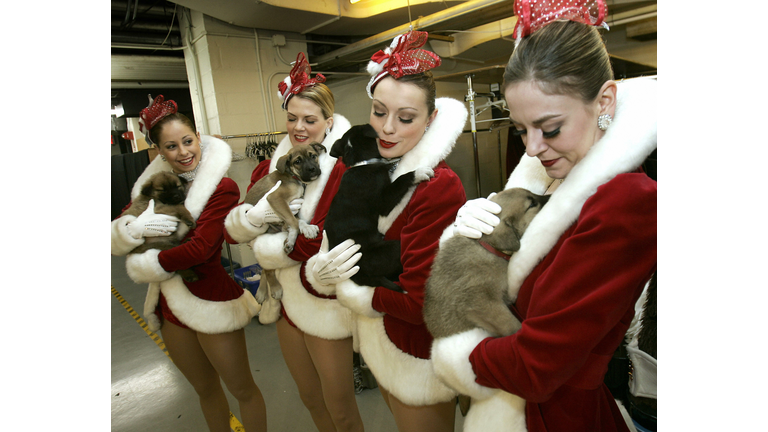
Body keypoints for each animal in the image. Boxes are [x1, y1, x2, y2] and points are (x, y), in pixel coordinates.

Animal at [244, 142, 326, 308]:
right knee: (267, 270)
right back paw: (272, 289)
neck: (293, 176)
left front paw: (307, 228)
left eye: (313, 156)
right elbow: (294, 222)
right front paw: (291, 240)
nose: (312, 169)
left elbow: (297, 220)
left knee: (265, 268)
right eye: (297, 161)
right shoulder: (275, 198)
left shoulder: (291, 207)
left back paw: (261, 292)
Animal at [324, 125, 432, 294]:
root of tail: (357, 272)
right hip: (394, 249)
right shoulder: (383, 202)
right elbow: (400, 180)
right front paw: (418, 173)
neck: (362, 162)